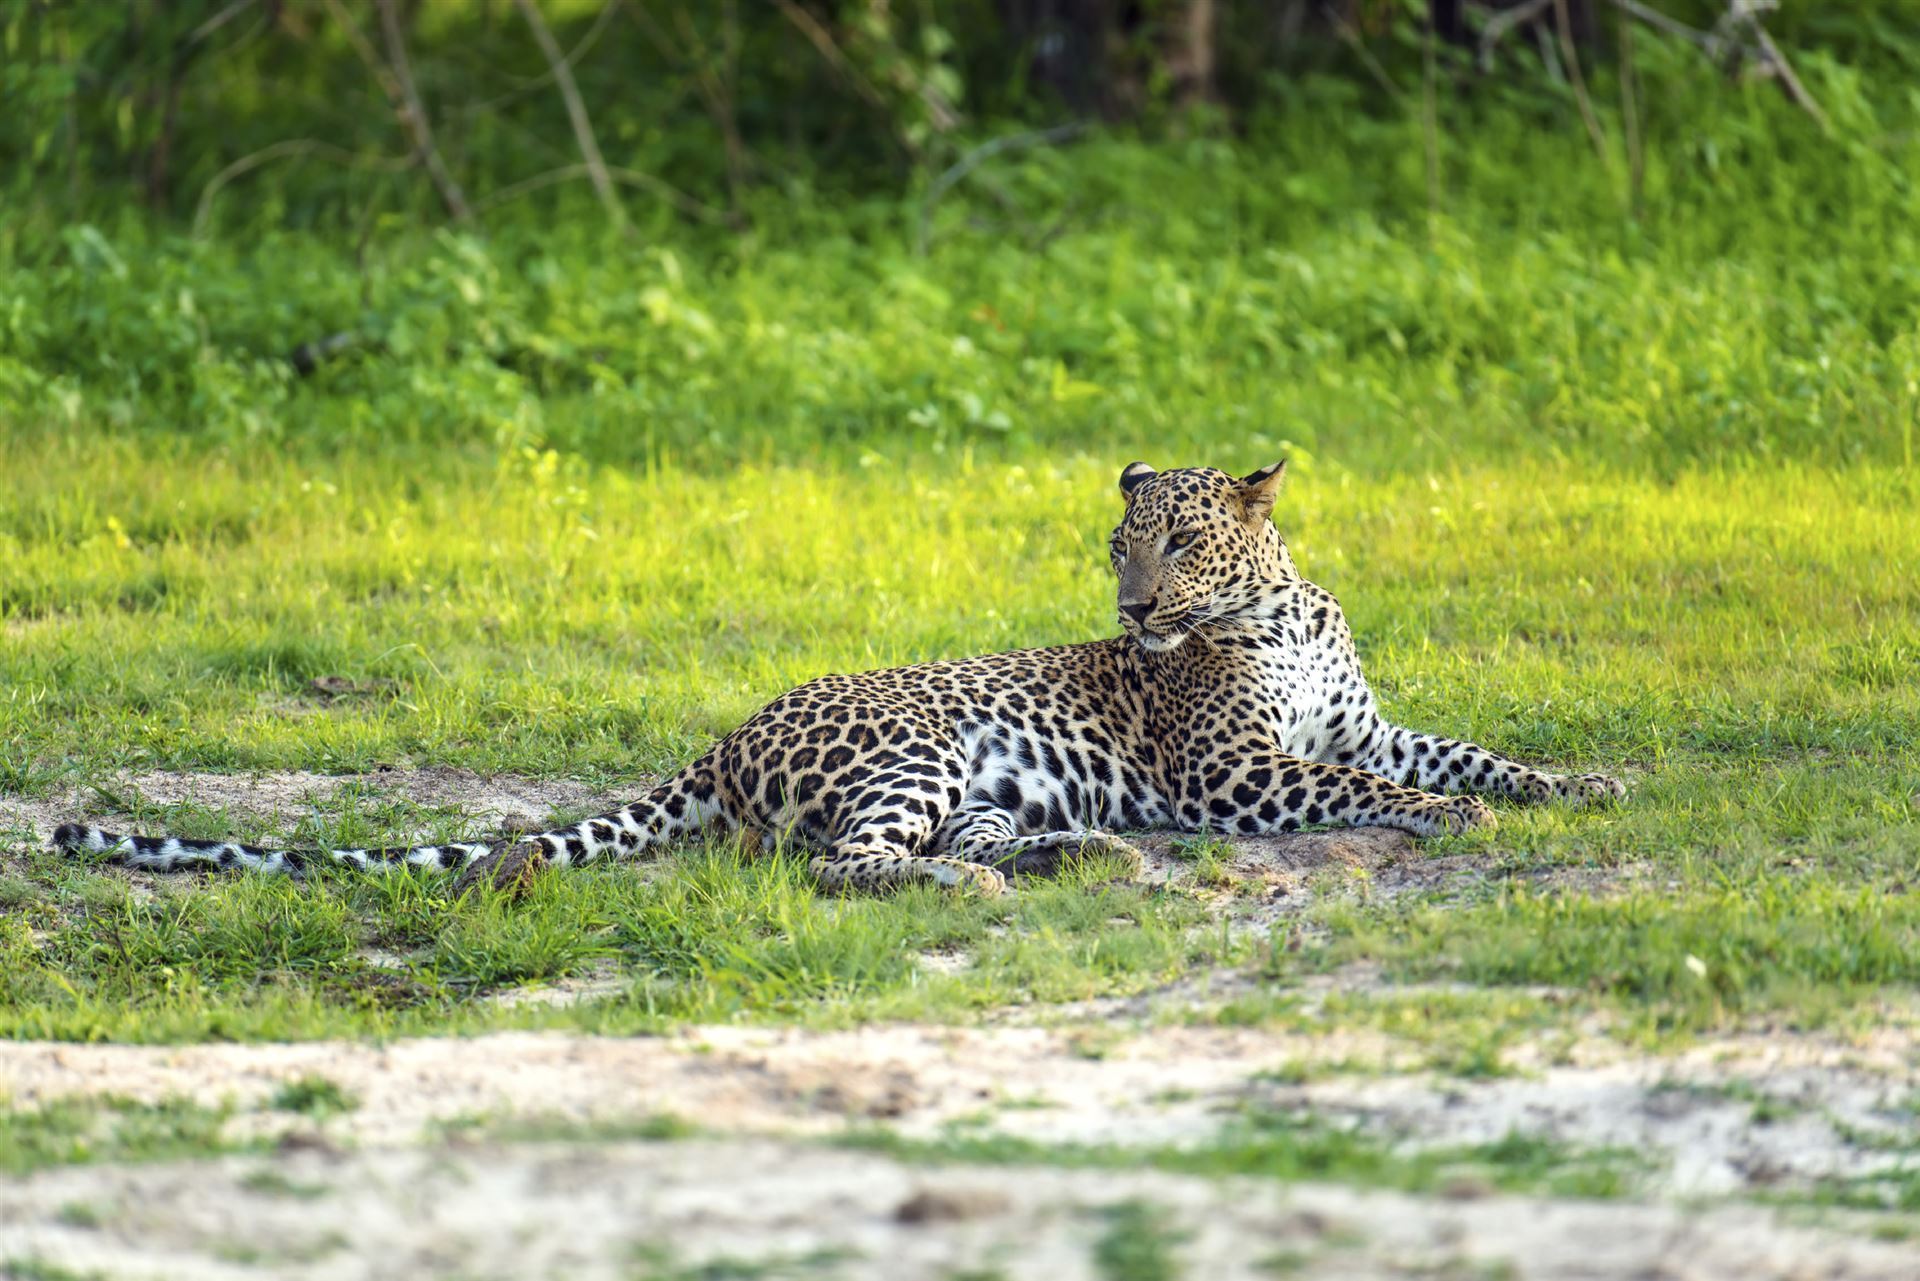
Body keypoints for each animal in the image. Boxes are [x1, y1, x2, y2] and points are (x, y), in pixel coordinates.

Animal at [53, 458, 1625, 896]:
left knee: (949, 839)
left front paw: (1577, 783)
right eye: (1118, 544)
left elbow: (1458, 752)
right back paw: (1002, 879)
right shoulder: (1231, 769)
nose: (1129, 604)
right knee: (840, 864)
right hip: (913, 749)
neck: (1279, 608)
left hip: (974, 778)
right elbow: (1360, 786)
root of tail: (725, 735)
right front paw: (1461, 822)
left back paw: (1076, 852)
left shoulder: (1368, 722)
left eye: (1176, 539)